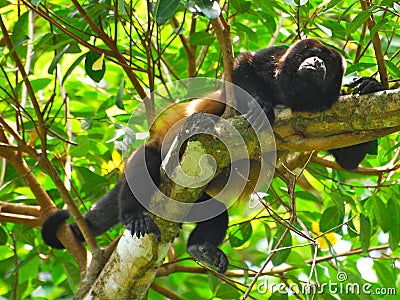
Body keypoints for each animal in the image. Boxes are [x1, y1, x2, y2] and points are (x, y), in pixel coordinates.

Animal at [42, 39, 382, 274]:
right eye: (307, 54)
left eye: (327, 61)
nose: (315, 62)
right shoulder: (274, 55)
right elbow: (243, 66)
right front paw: (258, 103)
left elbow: (348, 159)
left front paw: (368, 85)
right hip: (159, 150)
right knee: (147, 162)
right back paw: (134, 214)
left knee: (215, 209)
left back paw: (201, 248)